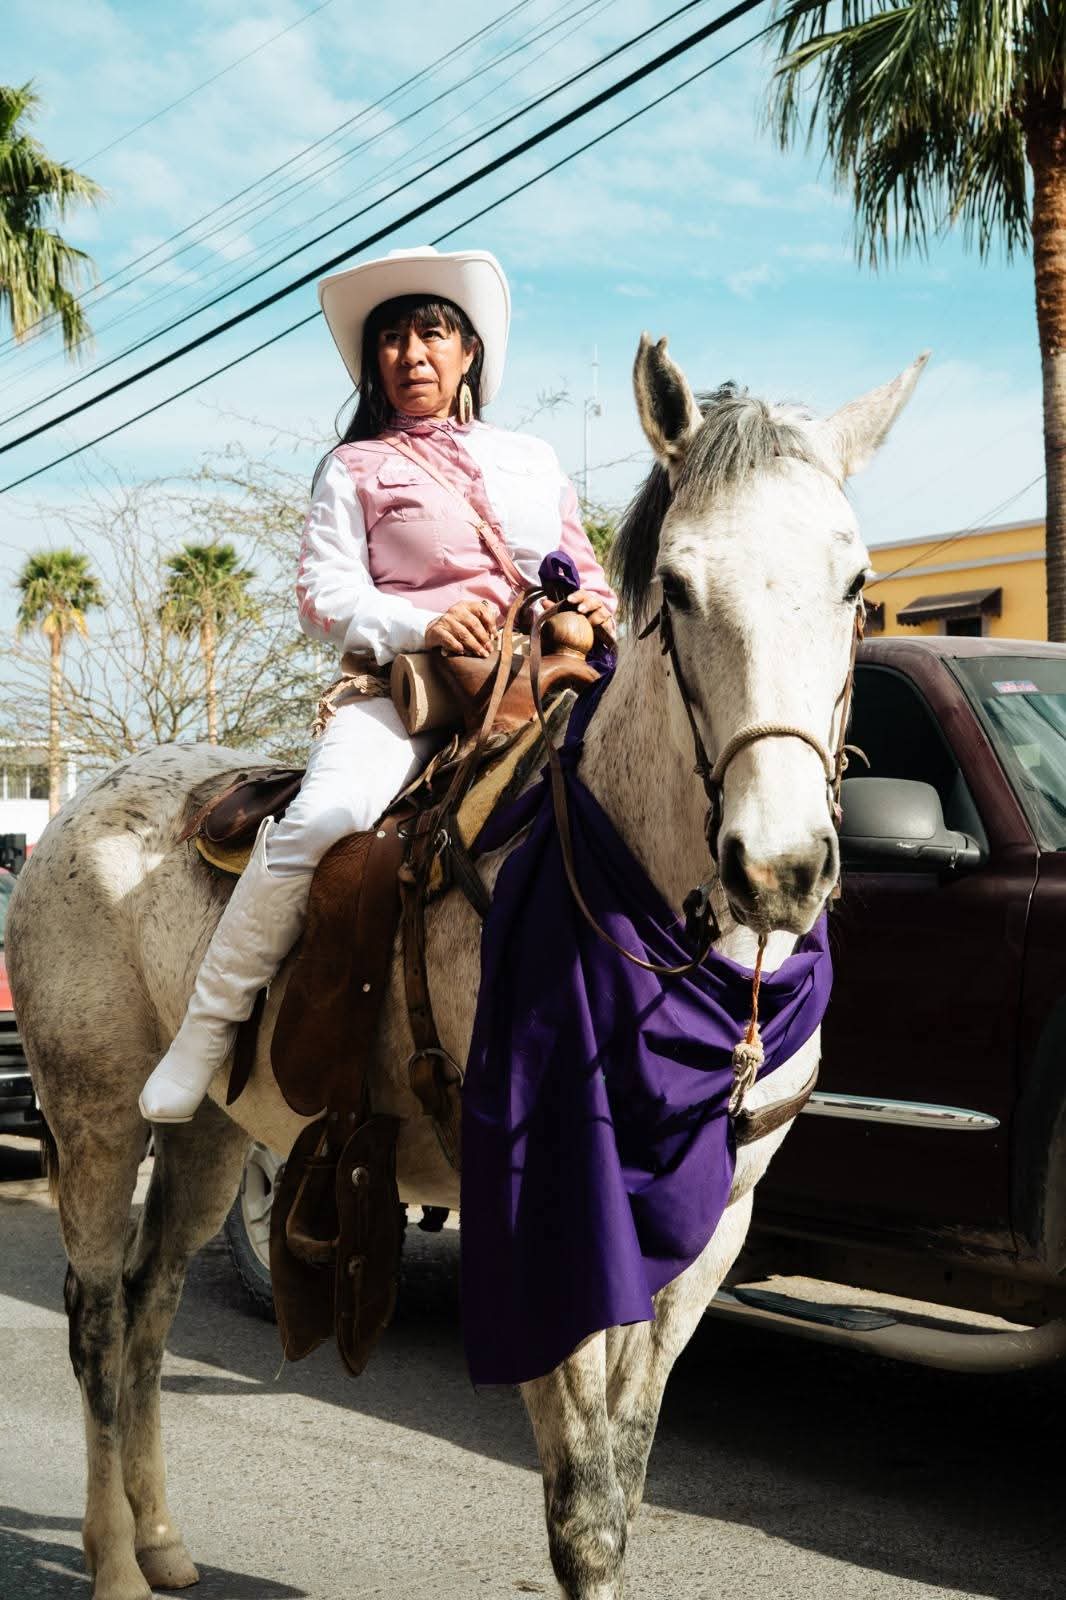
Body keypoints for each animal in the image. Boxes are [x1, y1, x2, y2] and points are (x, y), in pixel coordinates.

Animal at [6, 333, 925, 1600]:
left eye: (854, 584)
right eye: (678, 587)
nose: (778, 864)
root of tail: (75, 806)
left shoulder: (708, 1229)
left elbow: (626, 1469)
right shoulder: (540, 1213)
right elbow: (583, 1504)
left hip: (207, 1139)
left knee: (150, 1310)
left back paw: (161, 1540)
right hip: (95, 1121)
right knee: (98, 1318)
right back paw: (112, 1564)